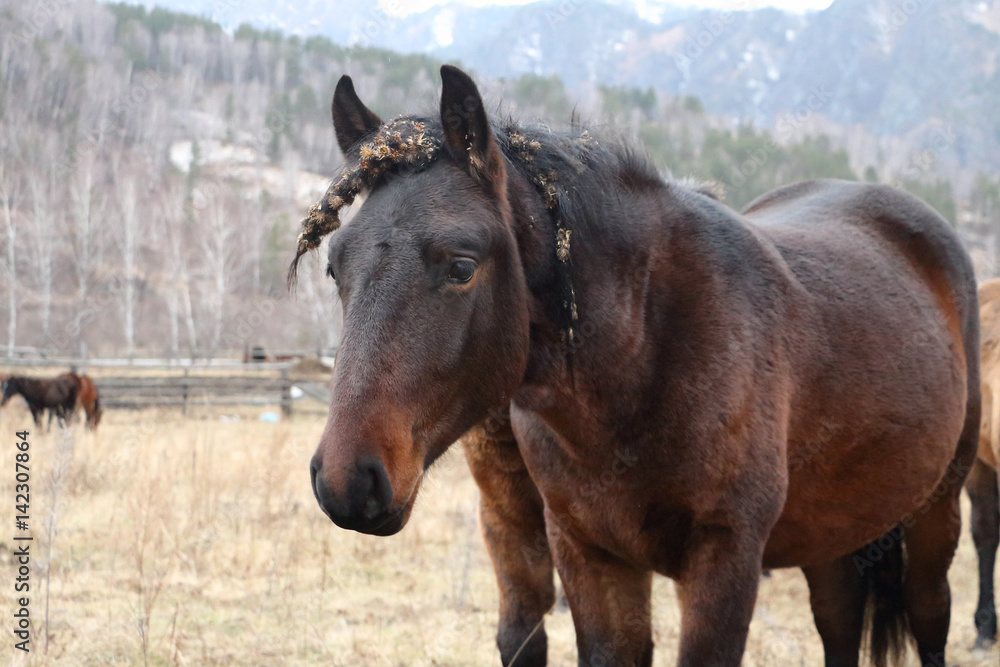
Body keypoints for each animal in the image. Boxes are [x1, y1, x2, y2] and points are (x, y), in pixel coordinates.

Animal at [293, 66, 979, 667]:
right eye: (335, 267)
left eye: (461, 266)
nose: (347, 481)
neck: (650, 357)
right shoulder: (590, 557)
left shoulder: (725, 563)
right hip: (837, 531)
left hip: (936, 515)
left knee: (929, 619)